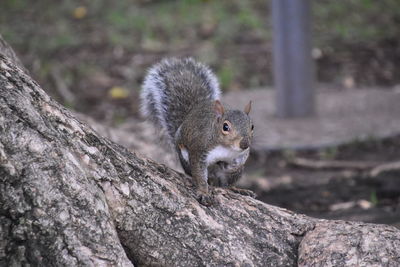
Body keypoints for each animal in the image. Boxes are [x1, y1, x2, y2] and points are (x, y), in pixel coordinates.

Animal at [140, 57, 253, 206]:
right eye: (225, 127)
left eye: (252, 126)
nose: (244, 144)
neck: (226, 148)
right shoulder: (199, 149)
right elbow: (199, 173)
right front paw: (203, 192)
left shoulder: (242, 154)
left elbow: (240, 161)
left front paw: (232, 166)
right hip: (184, 155)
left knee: (226, 184)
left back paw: (236, 188)